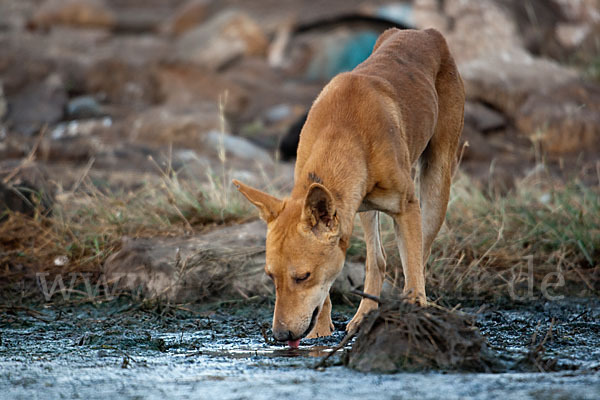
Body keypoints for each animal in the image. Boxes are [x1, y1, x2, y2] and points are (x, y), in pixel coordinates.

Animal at [233, 28, 464, 346]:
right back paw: (364, 314)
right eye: (271, 277)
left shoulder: (406, 208)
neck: (342, 132)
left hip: (437, 181)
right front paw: (321, 330)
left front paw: (414, 310)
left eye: (302, 277)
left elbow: (413, 264)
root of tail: (423, 32)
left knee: (420, 252)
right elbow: (334, 286)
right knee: (377, 261)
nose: (280, 335)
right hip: (366, 210)